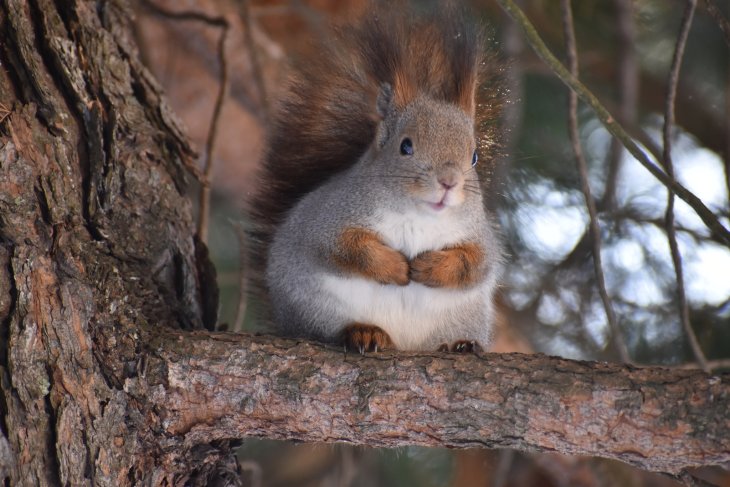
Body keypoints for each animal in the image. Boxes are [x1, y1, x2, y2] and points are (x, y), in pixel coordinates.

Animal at [247, 3, 504, 354]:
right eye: (405, 146)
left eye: (475, 156)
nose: (449, 182)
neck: (418, 216)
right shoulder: (329, 221)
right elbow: (346, 249)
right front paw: (395, 266)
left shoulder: (477, 234)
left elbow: (477, 264)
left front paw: (430, 267)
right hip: (315, 308)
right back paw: (364, 333)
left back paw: (459, 344)